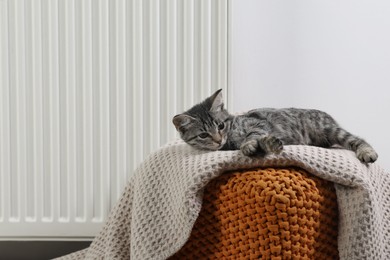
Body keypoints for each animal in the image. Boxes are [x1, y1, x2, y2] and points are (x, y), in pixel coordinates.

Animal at [173, 89, 378, 162]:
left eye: (221, 126)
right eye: (203, 135)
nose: (217, 140)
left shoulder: (258, 123)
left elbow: (252, 136)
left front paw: (248, 145)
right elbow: (263, 141)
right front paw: (269, 144)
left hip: (330, 130)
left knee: (357, 139)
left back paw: (367, 152)